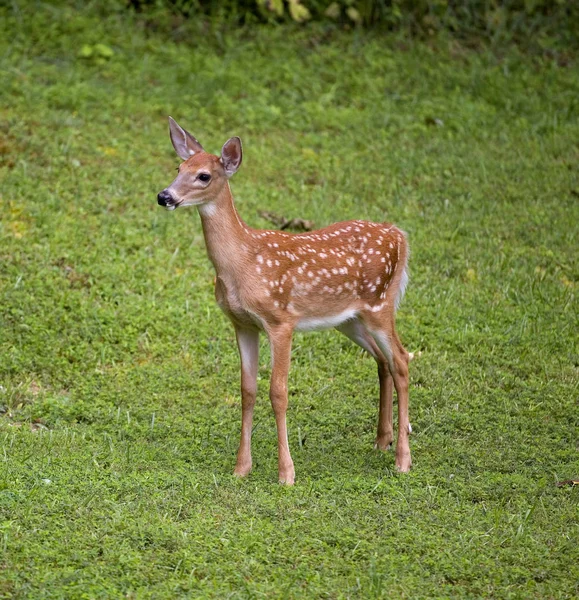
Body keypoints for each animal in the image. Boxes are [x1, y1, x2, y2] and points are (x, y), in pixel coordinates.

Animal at [157, 117, 412, 482]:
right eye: (178, 167)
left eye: (203, 175)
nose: (164, 196)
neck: (242, 263)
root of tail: (399, 235)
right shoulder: (242, 323)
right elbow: (247, 390)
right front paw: (241, 467)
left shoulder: (281, 320)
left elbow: (278, 392)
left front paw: (286, 473)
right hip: (350, 318)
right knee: (383, 360)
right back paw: (382, 441)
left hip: (380, 303)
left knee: (402, 360)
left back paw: (403, 459)